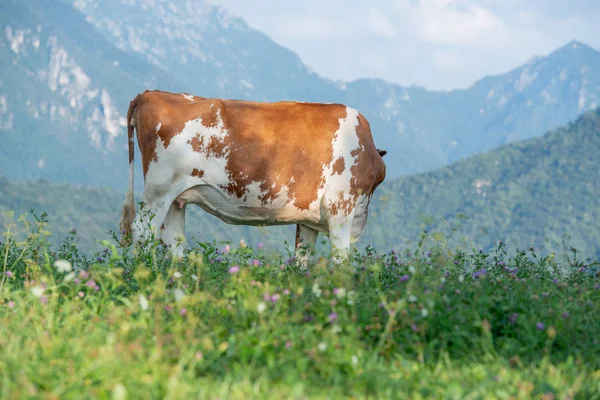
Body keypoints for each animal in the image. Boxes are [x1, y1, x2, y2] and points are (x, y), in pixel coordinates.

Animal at [119, 90, 386, 262]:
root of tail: (149, 93)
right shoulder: (340, 206)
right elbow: (341, 262)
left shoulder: (309, 218)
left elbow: (302, 260)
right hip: (159, 190)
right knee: (143, 230)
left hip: (177, 197)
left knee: (174, 239)